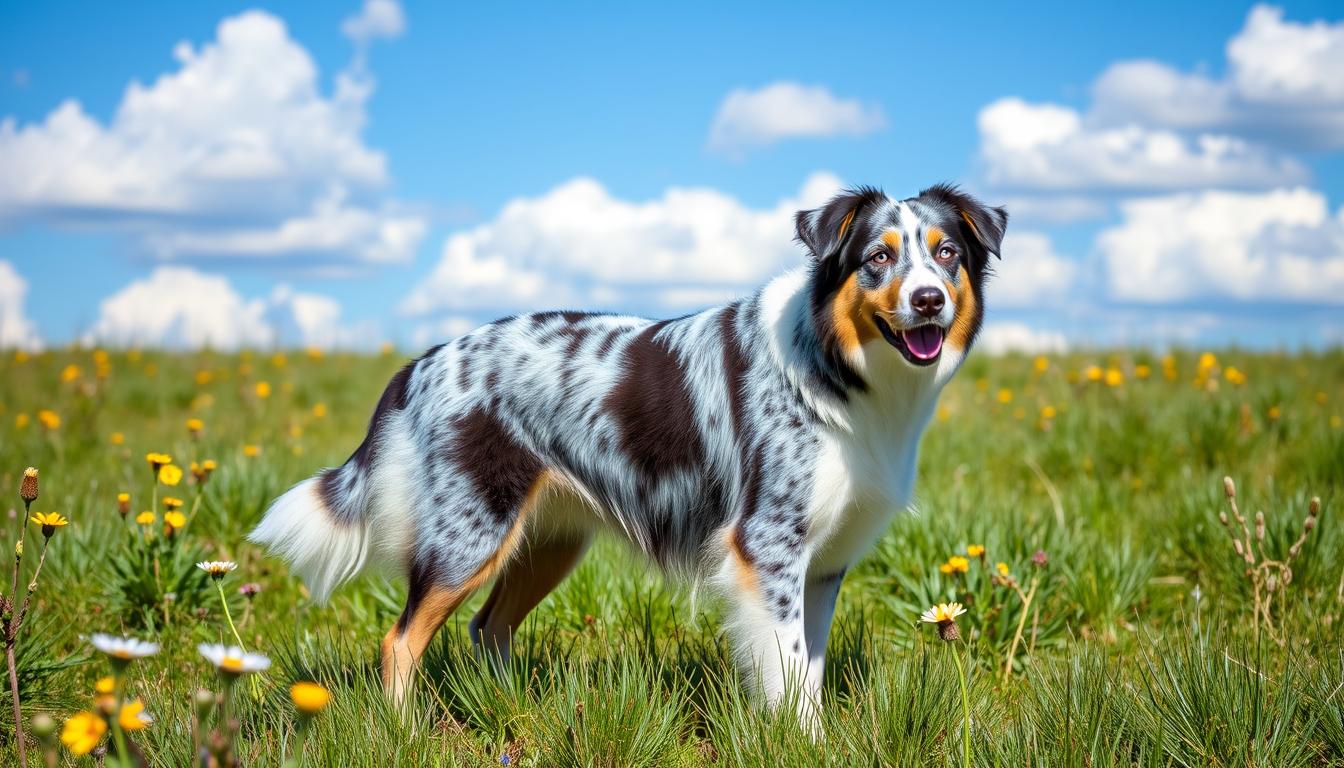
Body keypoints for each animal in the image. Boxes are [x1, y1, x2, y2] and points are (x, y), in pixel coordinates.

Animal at [249, 182, 1010, 731]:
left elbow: (808, 673)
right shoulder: (766, 549)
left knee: (488, 627)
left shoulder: (823, 565)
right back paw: (406, 734)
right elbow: (788, 671)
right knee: (401, 641)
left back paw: (511, 712)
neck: (835, 365)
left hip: (548, 543)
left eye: (946, 254)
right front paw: (802, 743)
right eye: (877, 257)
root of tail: (425, 360)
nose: (928, 301)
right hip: (470, 535)